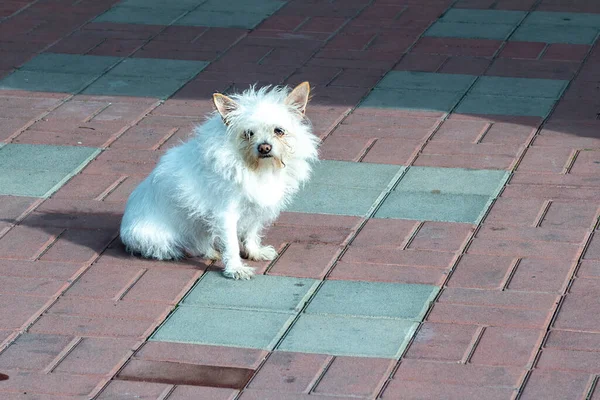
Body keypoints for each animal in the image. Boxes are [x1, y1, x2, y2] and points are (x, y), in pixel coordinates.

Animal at [119, 82, 322, 280]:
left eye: (279, 131)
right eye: (248, 133)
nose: (264, 147)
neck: (257, 169)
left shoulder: (256, 207)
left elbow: (251, 231)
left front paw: (254, 252)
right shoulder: (226, 214)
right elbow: (231, 244)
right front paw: (235, 269)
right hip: (156, 236)